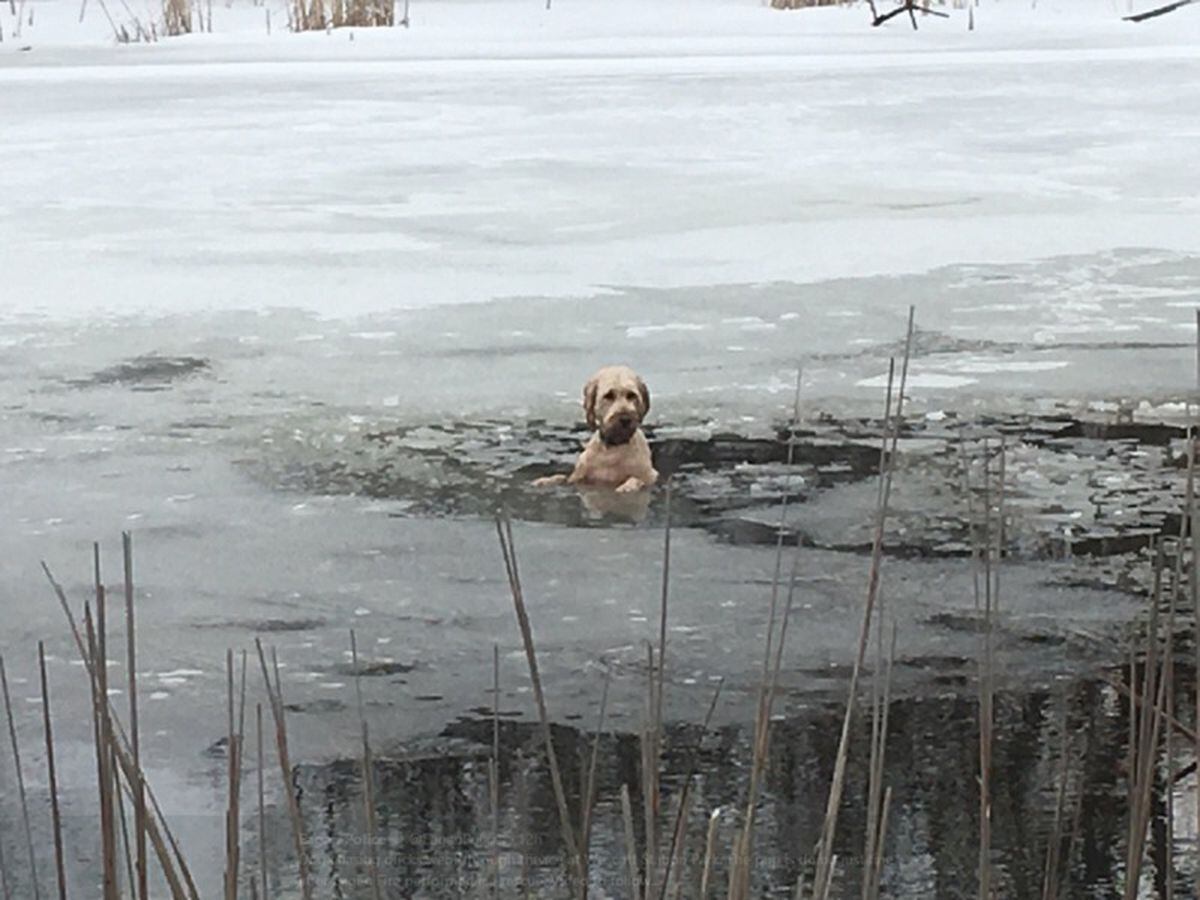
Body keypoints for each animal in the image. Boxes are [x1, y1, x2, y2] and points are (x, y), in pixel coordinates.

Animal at [535, 364, 662, 494]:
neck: (613, 449)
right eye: (609, 395)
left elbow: (637, 479)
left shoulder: (649, 475)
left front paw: (627, 487)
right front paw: (544, 481)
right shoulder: (578, 477)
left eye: (631, 395)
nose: (625, 418)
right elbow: (562, 478)